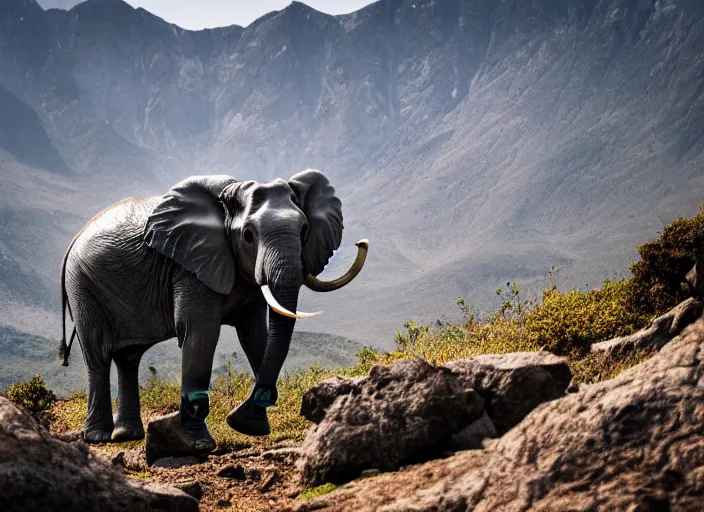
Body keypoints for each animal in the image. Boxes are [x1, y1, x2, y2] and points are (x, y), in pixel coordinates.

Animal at [56, 171, 368, 444]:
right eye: (248, 235)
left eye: (304, 230)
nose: (361, 242)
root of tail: (73, 242)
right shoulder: (189, 267)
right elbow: (201, 334)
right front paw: (201, 444)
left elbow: (256, 335)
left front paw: (252, 427)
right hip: (83, 288)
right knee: (98, 357)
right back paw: (98, 437)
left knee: (128, 358)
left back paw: (126, 436)